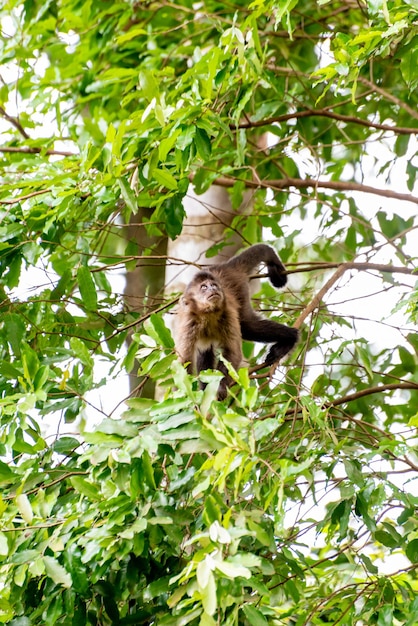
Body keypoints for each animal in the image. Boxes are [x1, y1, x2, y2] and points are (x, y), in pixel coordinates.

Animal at [174, 241, 300, 398]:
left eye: (213, 285)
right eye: (203, 287)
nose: (213, 289)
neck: (208, 314)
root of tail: (225, 267)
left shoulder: (227, 313)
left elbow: (232, 353)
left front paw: (220, 388)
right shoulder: (189, 322)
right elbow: (185, 361)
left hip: (239, 290)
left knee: (248, 326)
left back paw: (291, 337)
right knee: (205, 349)